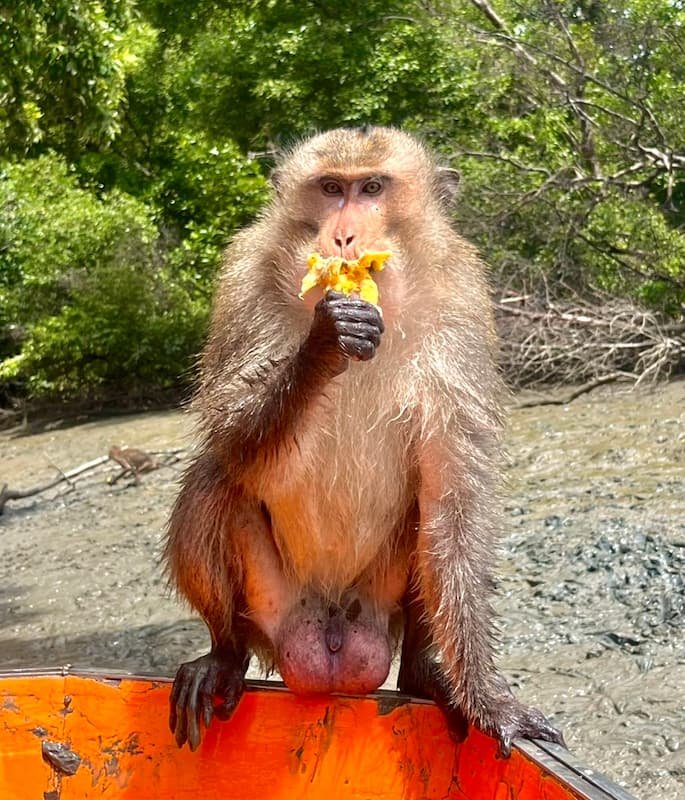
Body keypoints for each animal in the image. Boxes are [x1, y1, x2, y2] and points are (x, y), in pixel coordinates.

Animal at [165, 126, 564, 755]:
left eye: (372, 187)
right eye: (331, 188)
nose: (344, 235)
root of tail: (329, 644)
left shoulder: (463, 304)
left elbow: (453, 497)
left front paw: (488, 700)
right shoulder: (244, 280)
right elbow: (235, 441)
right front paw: (324, 341)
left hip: (374, 606)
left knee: (430, 515)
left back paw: (427, 672)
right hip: (274, 611)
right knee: (213, 479)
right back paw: (223, 654)